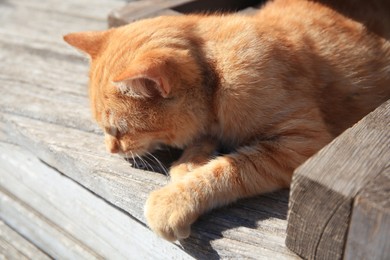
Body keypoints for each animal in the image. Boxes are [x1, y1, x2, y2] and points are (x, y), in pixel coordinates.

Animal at [64, 0, 390, 241]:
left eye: (118, 130)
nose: (110, 150)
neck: (217, 73)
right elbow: (201, 144)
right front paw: (188, 164)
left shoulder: (302, 140)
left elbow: (228, 169)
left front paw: (174, 199)